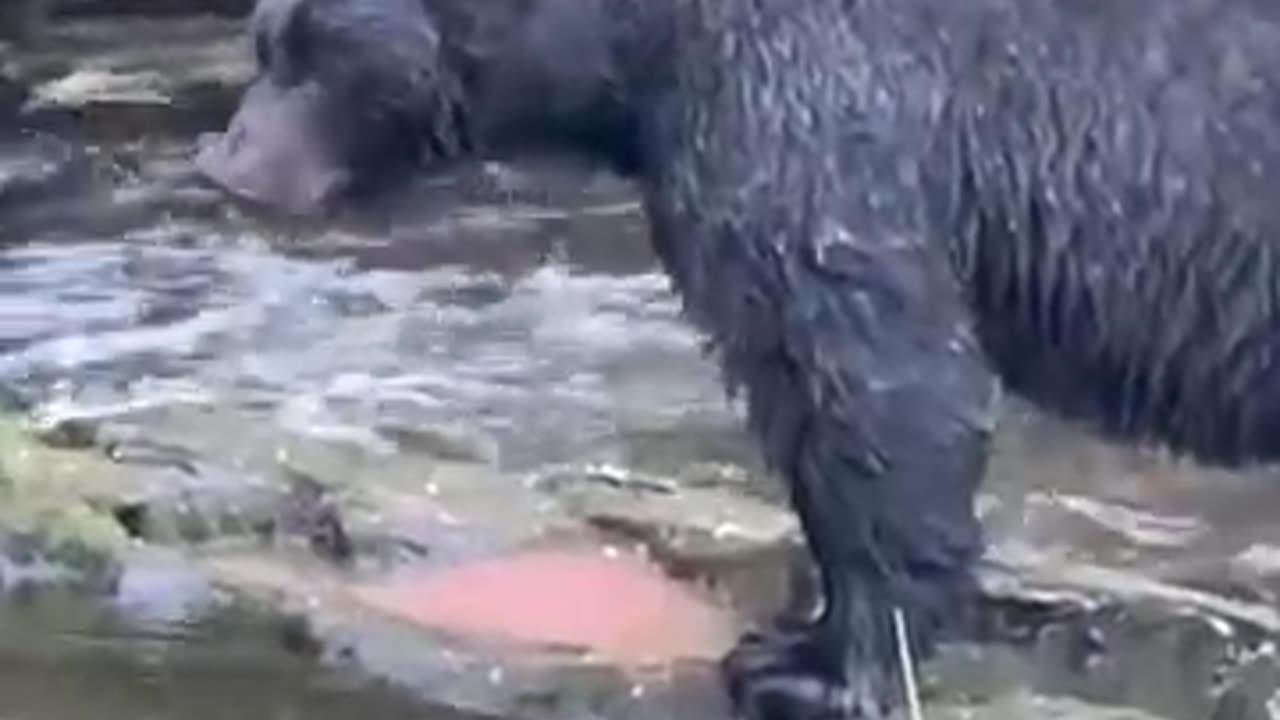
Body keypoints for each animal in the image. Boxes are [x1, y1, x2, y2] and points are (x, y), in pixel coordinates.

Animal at [197, 0, 1280, 712]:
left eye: (311, 50)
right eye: (265, 36)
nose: (225, 166)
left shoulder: (818, 110)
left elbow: (865, 374)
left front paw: (819, 667)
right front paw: (797, 635)